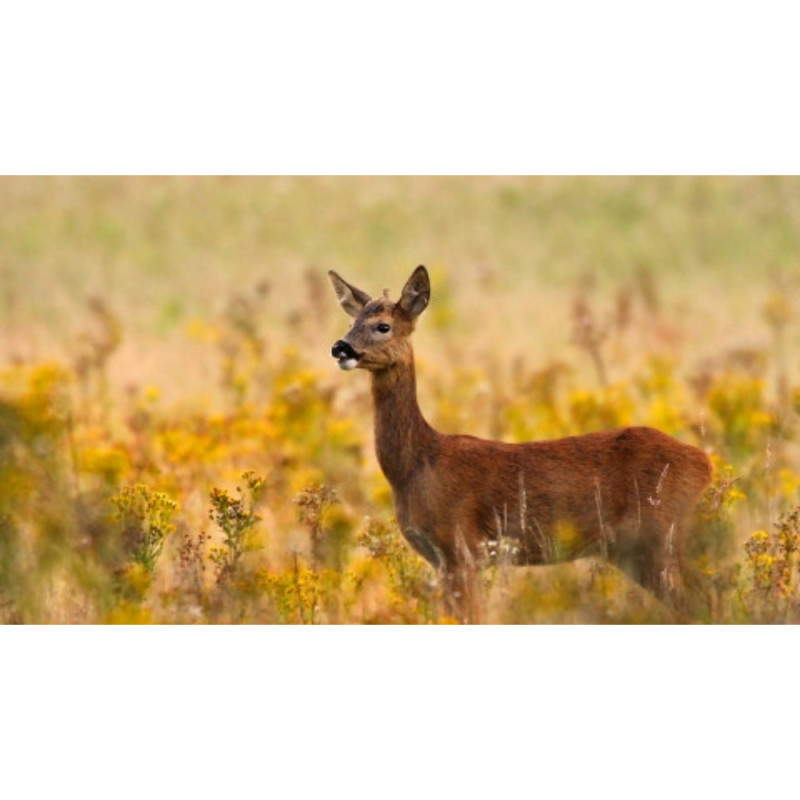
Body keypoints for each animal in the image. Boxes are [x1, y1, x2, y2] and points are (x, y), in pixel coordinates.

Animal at [329, 265, 713, 621]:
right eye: (351, 321)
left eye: (383, 326)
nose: (340, 347)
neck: (417, 465)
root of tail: (704, 462)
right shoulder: (444, 559)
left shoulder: (461, 547)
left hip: (661, 534)